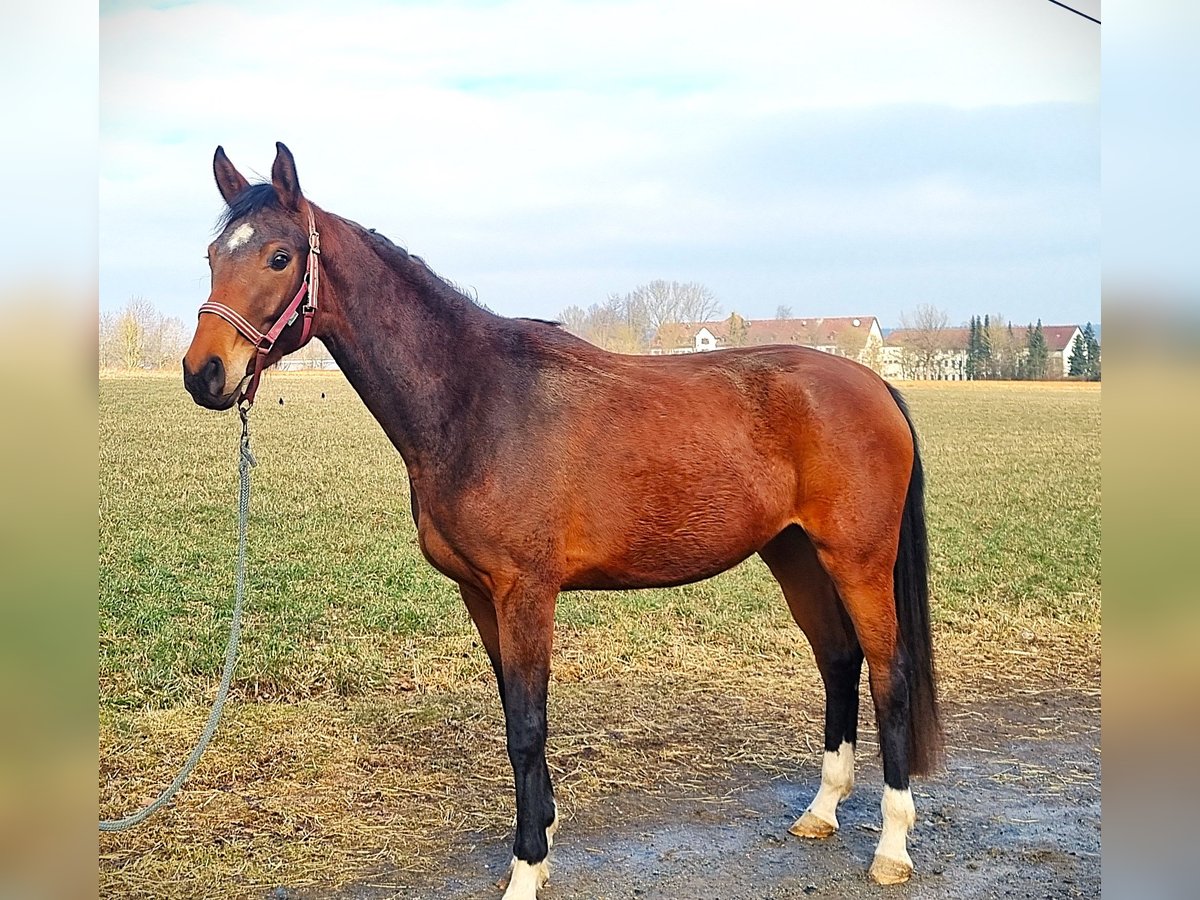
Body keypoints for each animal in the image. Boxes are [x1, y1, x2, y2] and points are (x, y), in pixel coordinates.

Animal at [184, 144, 936, 897]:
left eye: (280, 257)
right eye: (213, 254)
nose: (204, 373)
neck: (476, 400)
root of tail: (875, 384)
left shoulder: (526, 593)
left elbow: (527, 726)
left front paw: (525, 867)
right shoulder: (481, 595)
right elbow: (514, 718)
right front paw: (541, 835)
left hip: (857, 561)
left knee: (888, 671)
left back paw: (892, 846)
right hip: (795, 554)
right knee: (837, 659)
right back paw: (822, 810)